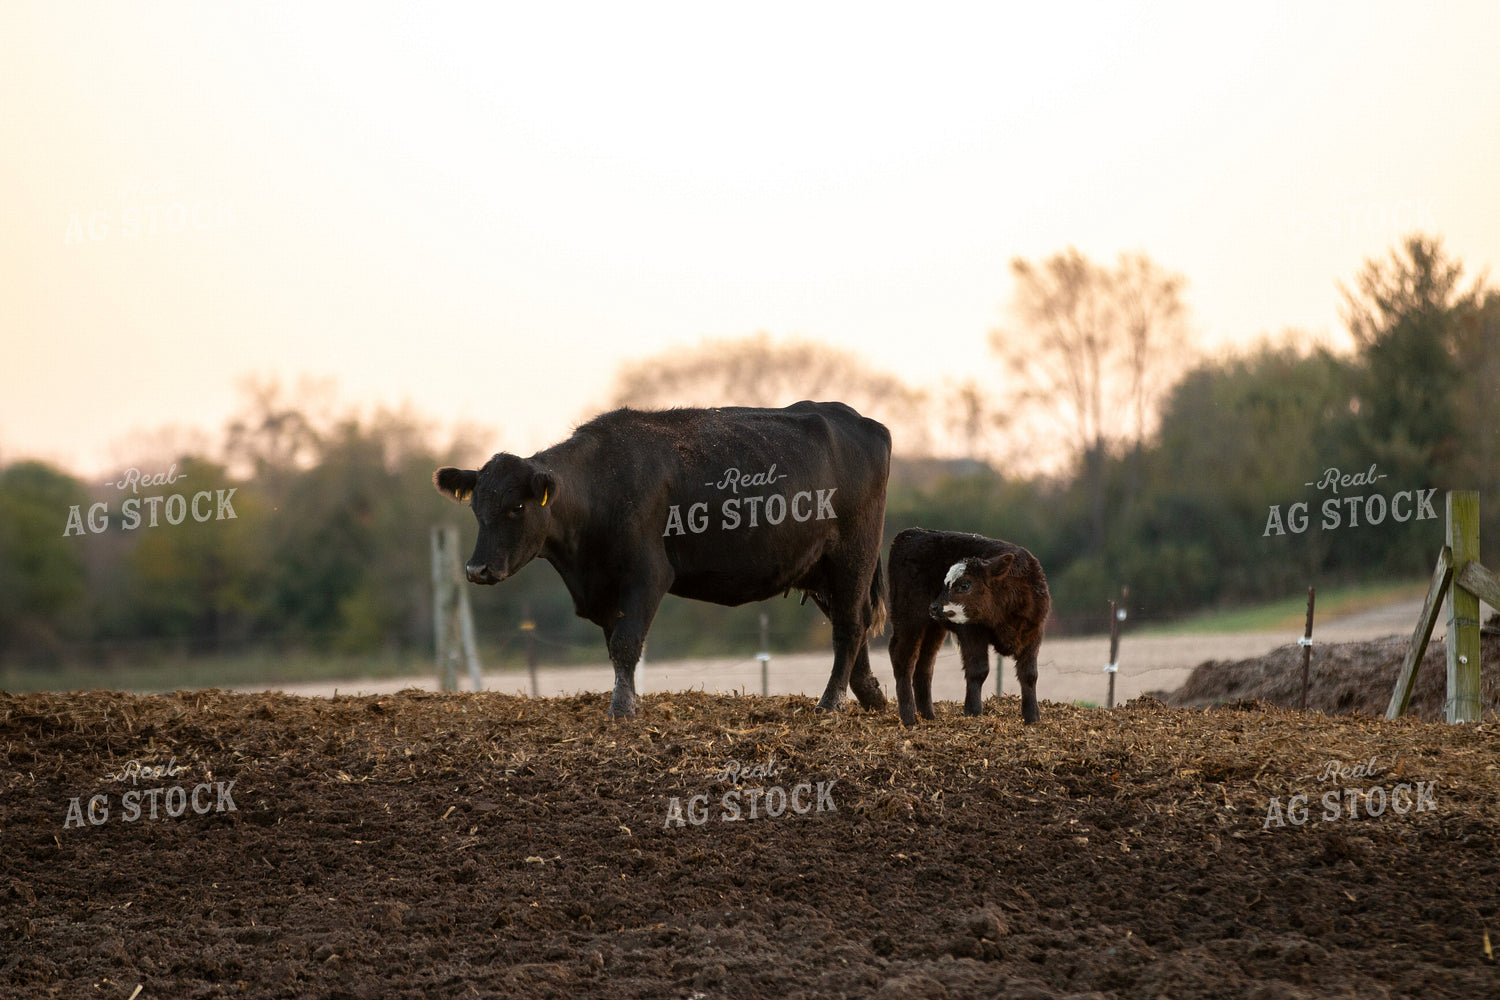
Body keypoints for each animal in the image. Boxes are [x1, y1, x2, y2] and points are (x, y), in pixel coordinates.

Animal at [433, 402, 892, 719]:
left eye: (516, 508)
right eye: (476, 508)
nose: (476, 570)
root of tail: (856, 418)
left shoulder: (647, 574)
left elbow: (625, 643)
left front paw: (621, 710)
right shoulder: (606, 587)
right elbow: (615, 646)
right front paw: (629, 701)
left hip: (853, 554)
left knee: (850, 626)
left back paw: (831, 704)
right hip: (822, 569)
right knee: (854, 623)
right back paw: (871, 696)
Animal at [886, 527, 1049, 726]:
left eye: (965, 585)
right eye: (945, 583)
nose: (934, 607)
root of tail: (912, 532)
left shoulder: (1034, 633)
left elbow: (1029, 674)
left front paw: (1032, 717)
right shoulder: (972, 631)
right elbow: (978, 670)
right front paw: (973, 712)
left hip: (933, 628)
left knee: (925, 664)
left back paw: (928, 715)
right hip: (908, 618)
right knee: (903, 657)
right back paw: (909, 717)